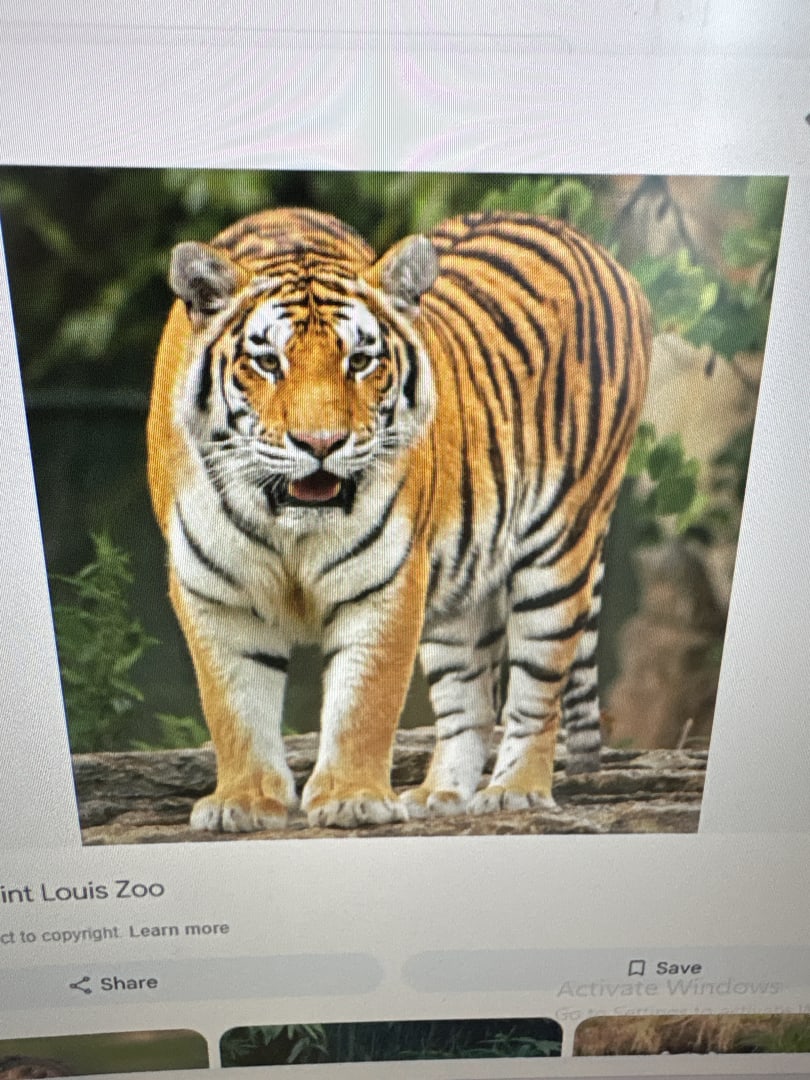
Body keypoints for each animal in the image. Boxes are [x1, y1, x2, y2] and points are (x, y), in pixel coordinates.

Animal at [147, 205, 651, 832]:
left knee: (536, 692)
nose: (321, 444)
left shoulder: (386, 581)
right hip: (460, 590)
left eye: (360, 361)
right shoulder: (213, 591)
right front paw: (244, 801)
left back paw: (515, 791)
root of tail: (597, 250)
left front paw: (351, 798)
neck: (288, 521)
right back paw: (441, 794)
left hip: (560, 550)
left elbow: (364, 701)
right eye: (267, 363)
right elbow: (234, 706)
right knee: (469, 701)